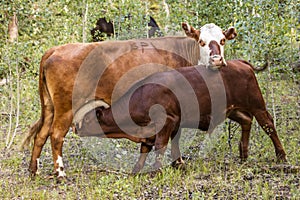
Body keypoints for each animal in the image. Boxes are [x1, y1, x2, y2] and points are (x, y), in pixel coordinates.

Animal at [19, 22, 238, 177]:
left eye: (222, 40)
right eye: (201, 41)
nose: (217, 60)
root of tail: (56, 49)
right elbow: (174, 136)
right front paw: (178, 163)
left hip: (50, 106)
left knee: (41, 134)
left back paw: (33, 170)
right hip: (66, 107)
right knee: (56, 135)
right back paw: (61, 173)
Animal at [78, 59, 288, 173]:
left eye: (87, 119)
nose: (75, 129)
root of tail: (240, 62)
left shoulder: (167, 121)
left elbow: (160, 146)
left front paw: (157, 169)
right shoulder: (169, 124)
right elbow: (150, 148)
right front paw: (138, 170)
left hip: (257, 105)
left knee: (269, 125)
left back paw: (281, 156)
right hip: (234, 110)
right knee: (246, 121)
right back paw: (243, 154)